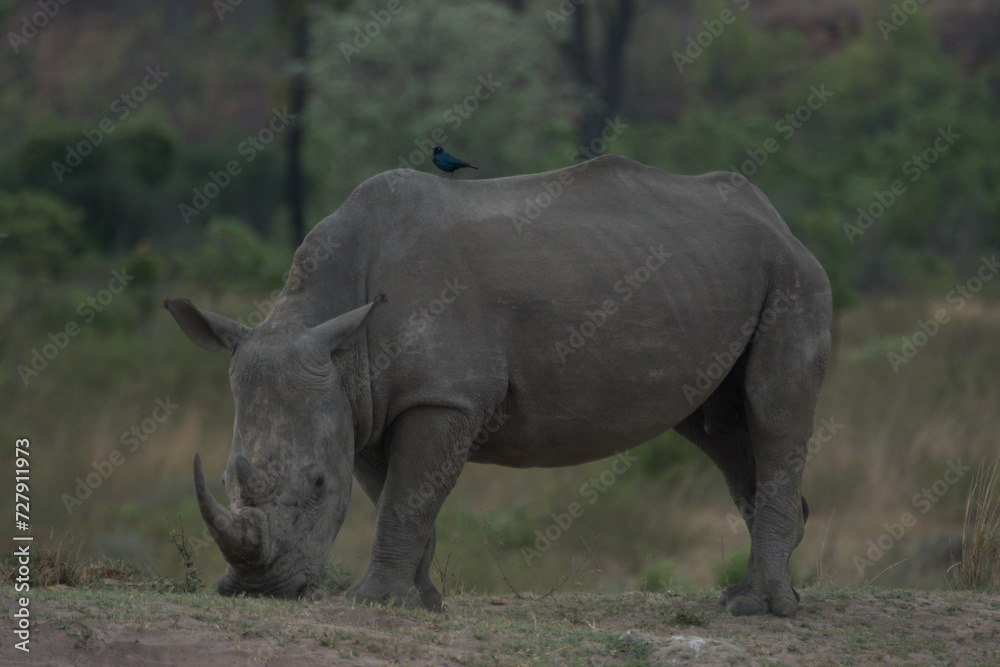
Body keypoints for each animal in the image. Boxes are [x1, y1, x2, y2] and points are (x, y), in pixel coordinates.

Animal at [165, 155, 831, 617]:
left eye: (318, 484)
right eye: (225, 479)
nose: (257, 590)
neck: (332, 321)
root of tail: (780, 221)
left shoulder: (443, 395)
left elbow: (407, 496)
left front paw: (375, 603)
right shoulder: (364, 402)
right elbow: (398, 496)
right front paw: (422, 601)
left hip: (793, 275)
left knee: (771, 413)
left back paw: (756, 609)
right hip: (724, 280)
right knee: (719, 429)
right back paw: (755, 589)